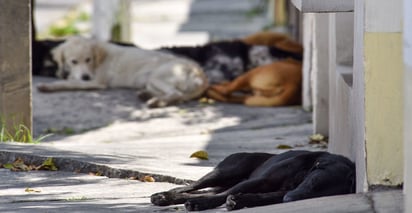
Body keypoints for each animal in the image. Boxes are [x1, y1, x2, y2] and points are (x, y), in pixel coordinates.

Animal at [36, 36, 208, 108]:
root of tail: (200, 74)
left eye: (88, 59)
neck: (99, 58)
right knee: (177, 96)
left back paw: (155, 101)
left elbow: (70, 83)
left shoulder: (98, 82)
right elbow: (71, 78)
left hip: (157, 77)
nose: (85, 76)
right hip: (151, 81)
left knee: (176, 94)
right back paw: (148, 96)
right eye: (73, 61)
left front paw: (49, 86)